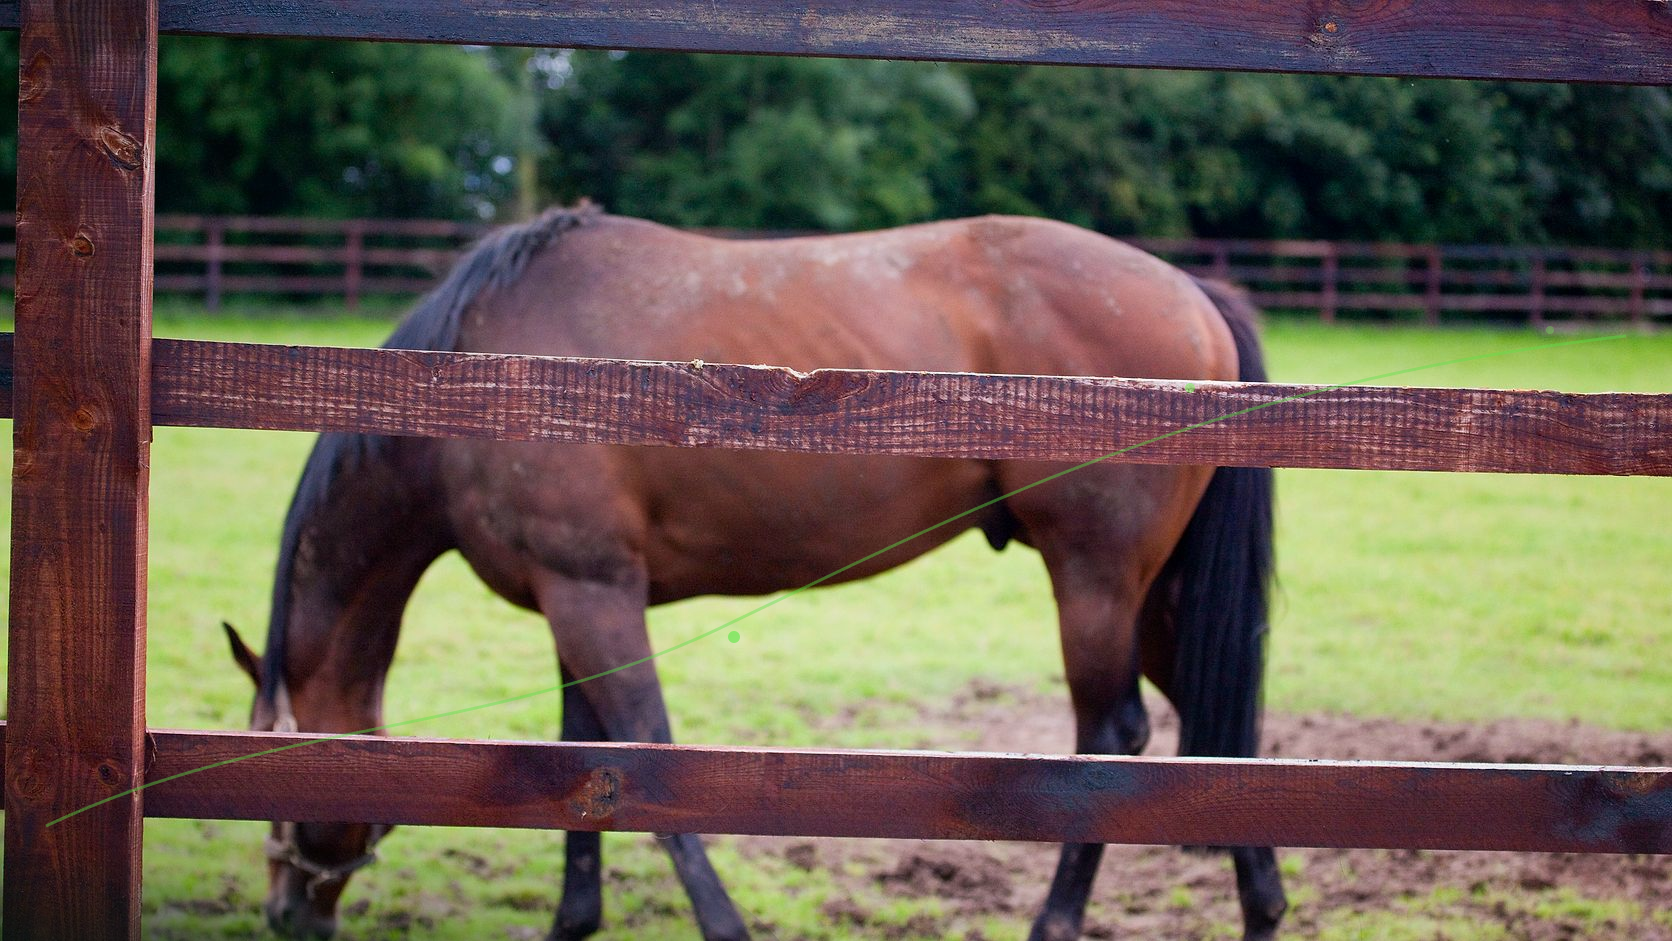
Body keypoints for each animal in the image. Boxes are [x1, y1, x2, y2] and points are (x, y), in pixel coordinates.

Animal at [223, 203, 1286, 941]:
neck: (483, 369)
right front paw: (573, 921)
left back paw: (1055, 922)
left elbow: (645, 754)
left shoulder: (594, 595)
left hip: (1096, 583)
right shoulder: (573, 598)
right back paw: (1263, 904)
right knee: (1223, 730)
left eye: (269, 768)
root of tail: (1196, 295)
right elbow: (583, 763)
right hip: (1155, 595)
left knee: (1112, 738)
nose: (285, 910)